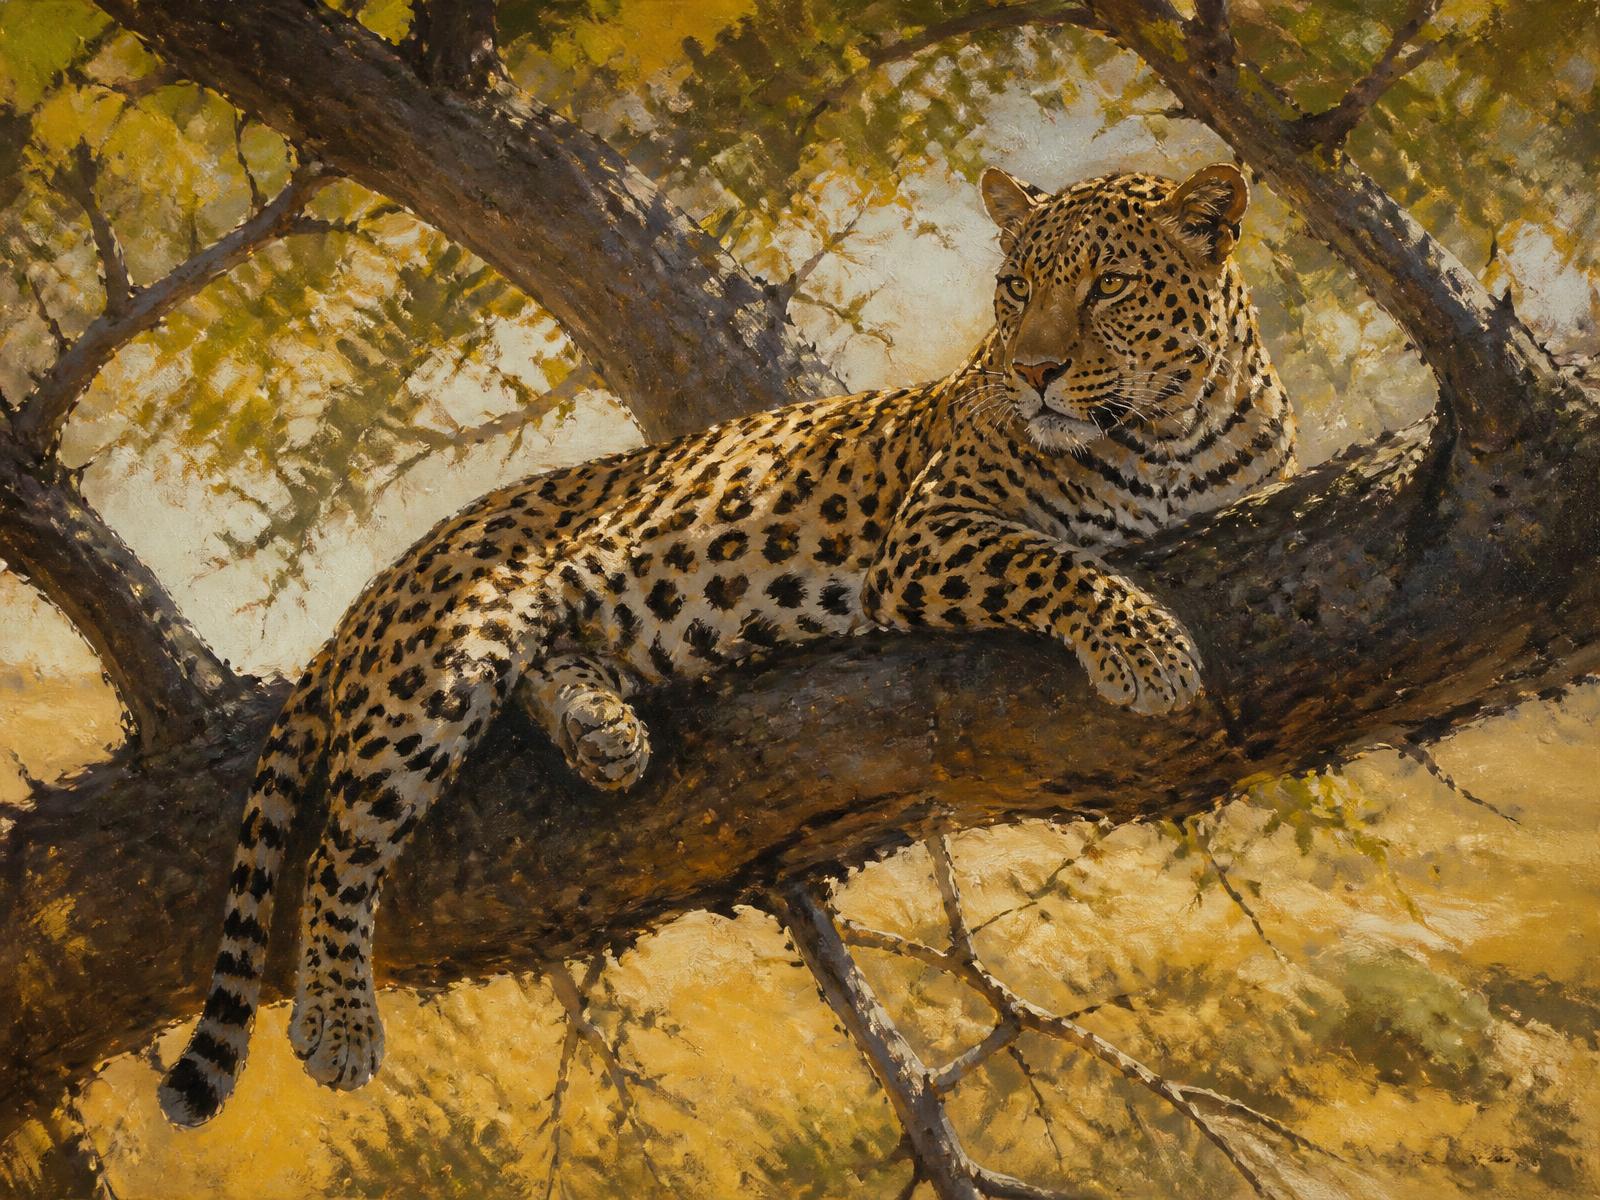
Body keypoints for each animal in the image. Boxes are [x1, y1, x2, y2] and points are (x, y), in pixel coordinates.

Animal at [158, 162, 1297, 1126]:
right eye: (1016, 289)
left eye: (1108, 287)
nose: (1036, 370)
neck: (1174, 434)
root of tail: (386, 580)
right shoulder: (931, 533)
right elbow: (1057, 562)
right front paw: (1147, 649)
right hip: (443, 659)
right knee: (341, 843)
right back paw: (340, 1018)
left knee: (544, 675)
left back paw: (604, 736)